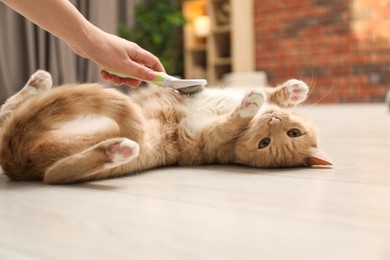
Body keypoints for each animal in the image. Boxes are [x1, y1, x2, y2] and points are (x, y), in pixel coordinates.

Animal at [0, 70, 332, 184]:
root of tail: (17, 162)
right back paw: (38, 82)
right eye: (294, 132)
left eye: (266, 143)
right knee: (7, 112)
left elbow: (231, 120)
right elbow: (273, 95)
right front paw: (293, 90)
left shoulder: (209, 139)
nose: (272, 121)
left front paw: (250, 105)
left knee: (57, 174)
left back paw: (117, 150)